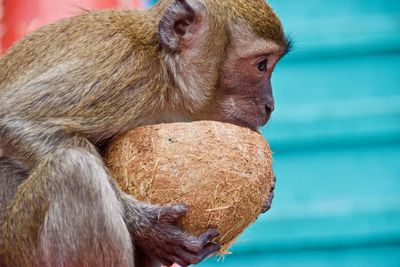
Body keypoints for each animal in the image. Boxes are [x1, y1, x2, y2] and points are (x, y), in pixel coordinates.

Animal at [0, 0, 290, 266]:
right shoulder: (126, 74)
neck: (164, 65)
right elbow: (15, 122)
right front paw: (147, 226)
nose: (270, 105)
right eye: (261, 65)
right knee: (75, 170)